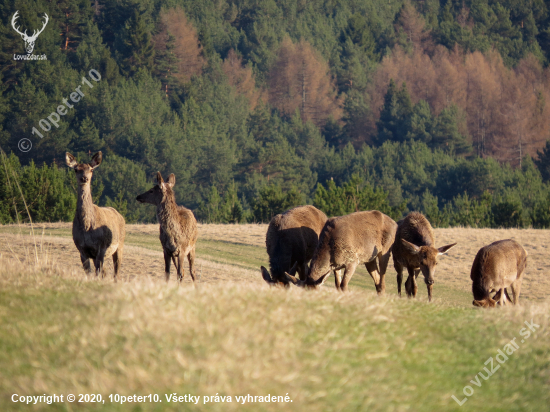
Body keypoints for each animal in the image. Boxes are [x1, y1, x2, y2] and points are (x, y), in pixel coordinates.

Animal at [65, 151, 125, 280]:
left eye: (91, 169)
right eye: (76, 169)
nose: (84, 178)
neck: (87, 227)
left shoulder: (101, 248)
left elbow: (97, 272)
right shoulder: (81, 249)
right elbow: (89, 273)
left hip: (120, 244)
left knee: (116, 272)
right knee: (105, 272)